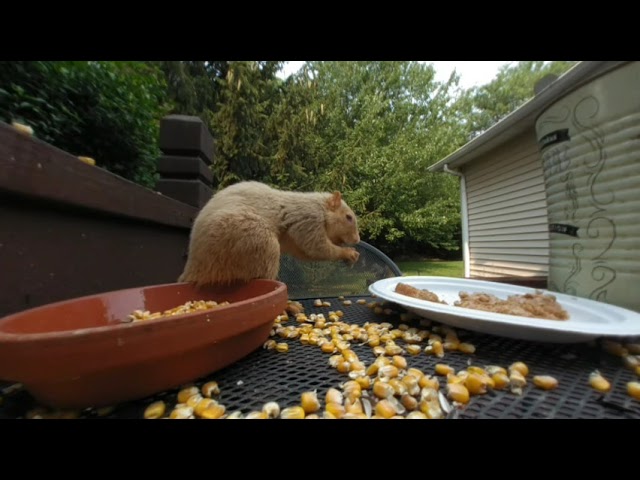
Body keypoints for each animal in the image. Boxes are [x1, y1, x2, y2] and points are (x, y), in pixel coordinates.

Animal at [179, 180, 360, 284]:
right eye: (348, 217)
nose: (357, 240)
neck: (320, 209)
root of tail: (194, 267)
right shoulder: (308, 220)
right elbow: (316, 248)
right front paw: (348, 253)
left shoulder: (293, 241)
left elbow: (305, 252)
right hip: (254, 238)